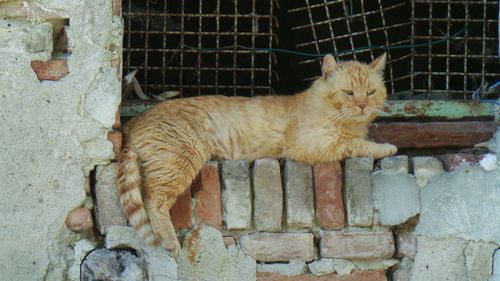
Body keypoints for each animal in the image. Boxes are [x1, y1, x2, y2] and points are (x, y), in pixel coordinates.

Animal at [116, 53, 394, 256]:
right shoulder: (312, 145)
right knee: (153, 199)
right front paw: (385, 147)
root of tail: (134, 121)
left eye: (370, 92)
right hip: (180, 160)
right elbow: (356, 143)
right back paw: (170, 241)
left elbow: (356, 140)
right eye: (349, 92)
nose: (362, 105)